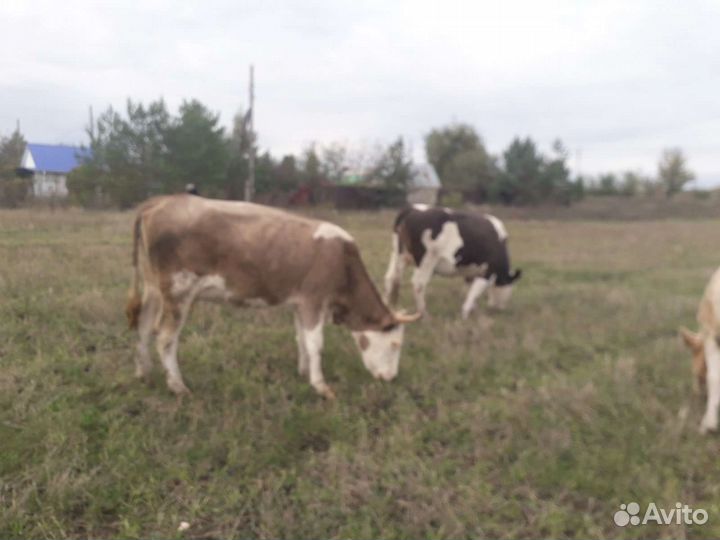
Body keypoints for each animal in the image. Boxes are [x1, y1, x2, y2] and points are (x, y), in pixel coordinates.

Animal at [126, 194, 420, 399]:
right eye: (396, 344)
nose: (392, 378)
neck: (342, 262)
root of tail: (161, 201)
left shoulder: (300, 303)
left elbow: (302, 339)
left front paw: (303, 372)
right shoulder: (314, 300)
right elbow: (316, 343)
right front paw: (321, 386)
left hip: (154, 288)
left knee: (143, 326)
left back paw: (144, 374)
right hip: (178, 291)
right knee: (165, 337)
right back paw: (178, 386)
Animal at [384, 204, 522, 319]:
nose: (499, 309)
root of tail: (413, 209)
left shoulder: (470, 273)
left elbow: (470, 291)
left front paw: (475, 312)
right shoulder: (487, 273)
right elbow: (474, 293)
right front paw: (465, 315)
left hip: (397, 254)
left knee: (391, 278)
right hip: (426, 260)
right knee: (418, 284)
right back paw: (424, 316)